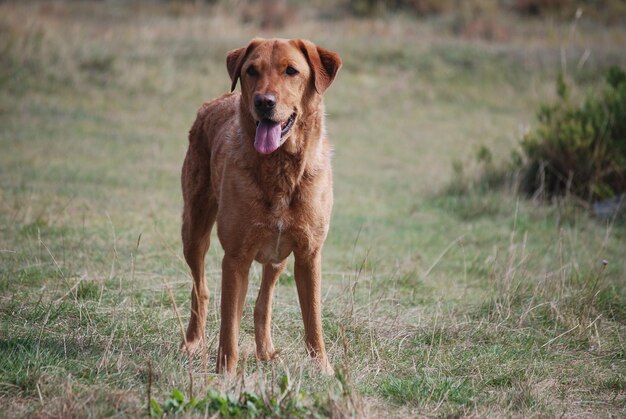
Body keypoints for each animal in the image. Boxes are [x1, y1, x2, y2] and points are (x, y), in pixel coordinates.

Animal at [178, 37, 338, 376]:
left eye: (291, 71)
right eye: (251, 70)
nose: (264, 102)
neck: (280, 168)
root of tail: (214, 101)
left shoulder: (309, 254)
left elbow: (313, 320)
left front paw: (323, 369)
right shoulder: (235, 257)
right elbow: (228, 325)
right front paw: (226, 373)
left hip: (278, 256)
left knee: (262, 304)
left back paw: (266, 352)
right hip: (194, 229)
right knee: (201, 289)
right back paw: (193, 341)